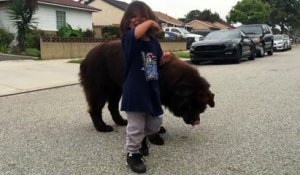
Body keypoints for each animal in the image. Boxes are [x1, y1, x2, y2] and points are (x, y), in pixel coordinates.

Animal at [78, 40, 214, 133]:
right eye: (189, 106)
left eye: (201, 109)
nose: (196, 122)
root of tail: (86, 58)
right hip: (100, 88)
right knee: (95, 108)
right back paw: (102, 127)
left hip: (117, 89)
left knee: (112, 107)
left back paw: (121, 122)